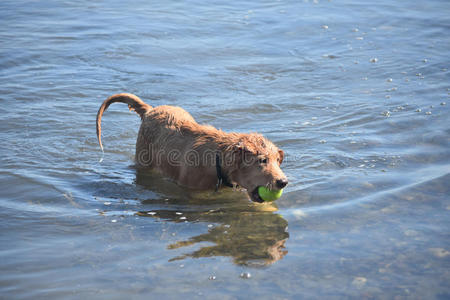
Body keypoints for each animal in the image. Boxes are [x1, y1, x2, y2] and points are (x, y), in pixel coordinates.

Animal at [96, 92, 288, 203]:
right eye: (262, 160)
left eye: (278, 161)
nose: (283, 182)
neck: (217, 161)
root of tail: (150, 110)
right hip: (143, 159)